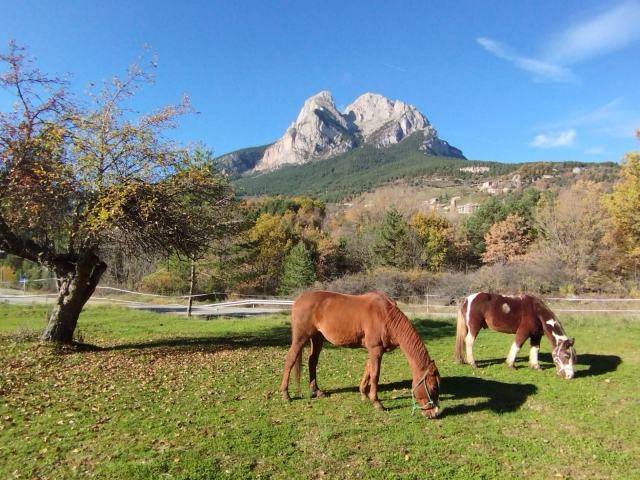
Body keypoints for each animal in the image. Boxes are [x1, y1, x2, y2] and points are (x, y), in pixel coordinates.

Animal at [280, 291, 441, 418]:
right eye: (434, 387)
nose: (434, 413)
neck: (386, 316)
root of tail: (298, 300)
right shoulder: (375, 349)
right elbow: (375, 374)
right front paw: (377, 403)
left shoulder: (375, 350)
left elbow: (368, 370)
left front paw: (363, 394)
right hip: (301, 338)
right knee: (290, 360)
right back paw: (285, 394)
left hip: (317, 337)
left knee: (312, 361)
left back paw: (317, 391)